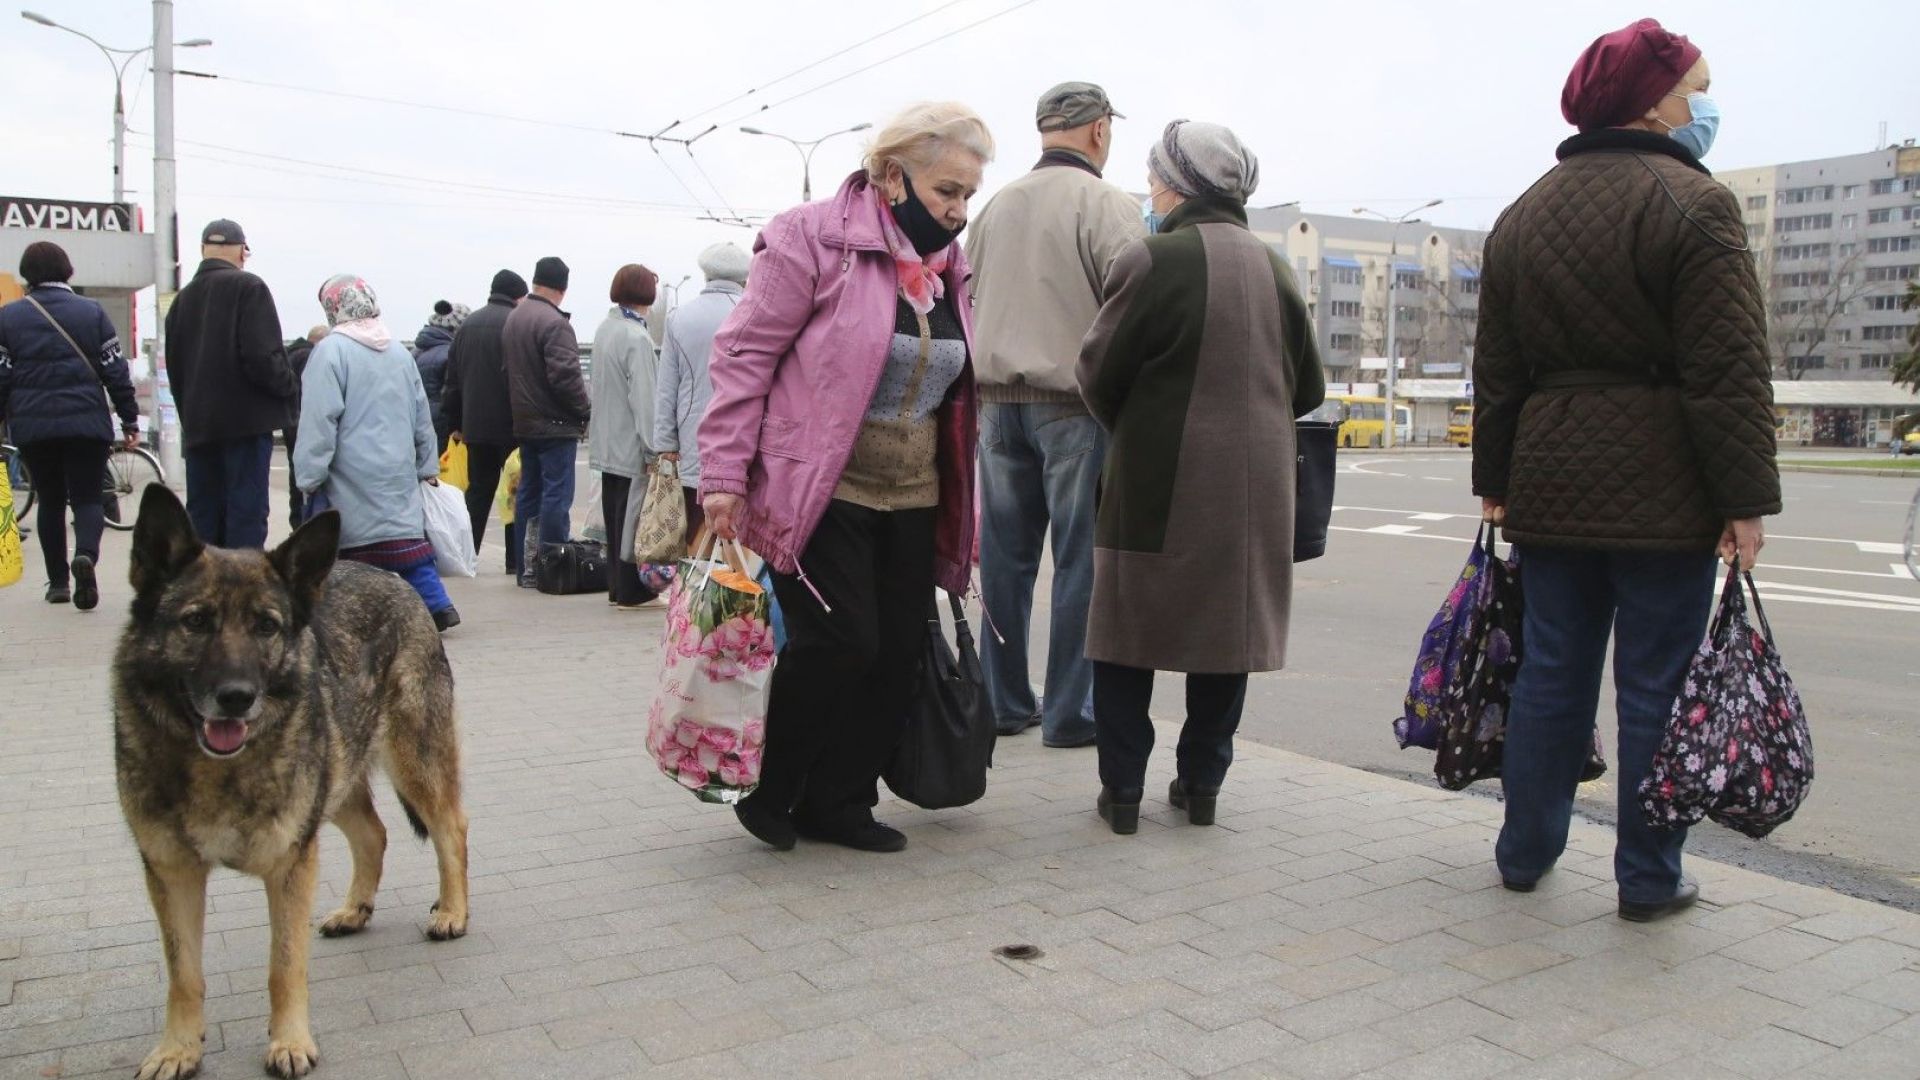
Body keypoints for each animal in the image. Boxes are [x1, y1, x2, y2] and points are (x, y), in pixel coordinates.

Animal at [114, 488, 470, 1076]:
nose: (236, 697)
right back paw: (356, 909)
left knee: (451, 828)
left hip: (413, 761)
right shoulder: (172, 873)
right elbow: (184, 974)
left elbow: (284, 968)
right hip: (337, 777)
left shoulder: (289, 867)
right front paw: (178, 1048)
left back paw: (453, 911)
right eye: (196, 621)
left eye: (267, 626)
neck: (219, 768)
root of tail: (390, 576)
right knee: (374, 834)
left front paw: (289, 1042)